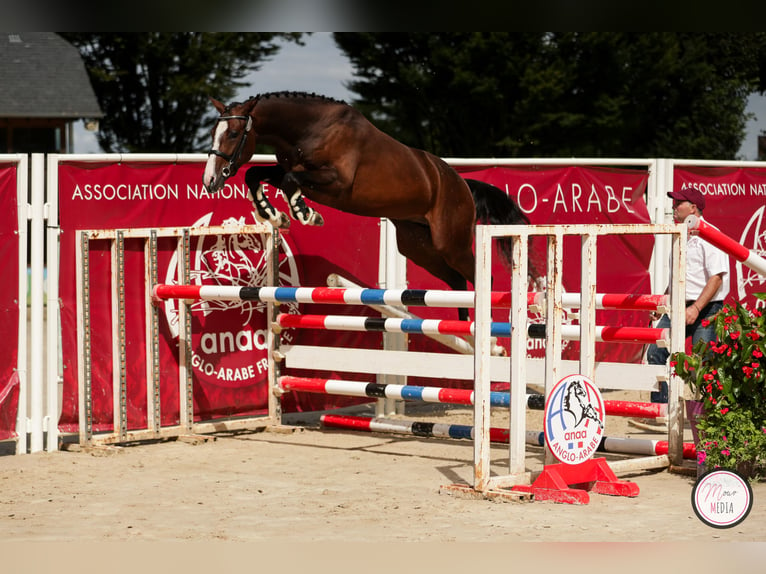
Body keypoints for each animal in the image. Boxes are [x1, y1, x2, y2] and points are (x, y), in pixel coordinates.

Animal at [207, 92, 536, 322]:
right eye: (213, 134)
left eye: (233, 134)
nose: (210, 180)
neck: (311, 129)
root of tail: (463, 184)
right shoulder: (291, 168)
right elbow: (256, 174)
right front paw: (274, 215)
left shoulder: (336, 182)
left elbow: (289, 180)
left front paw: (305, 214)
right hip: (417, 245)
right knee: (455, 280)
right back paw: (466, 332)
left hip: (450, 243)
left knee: (482, 278)